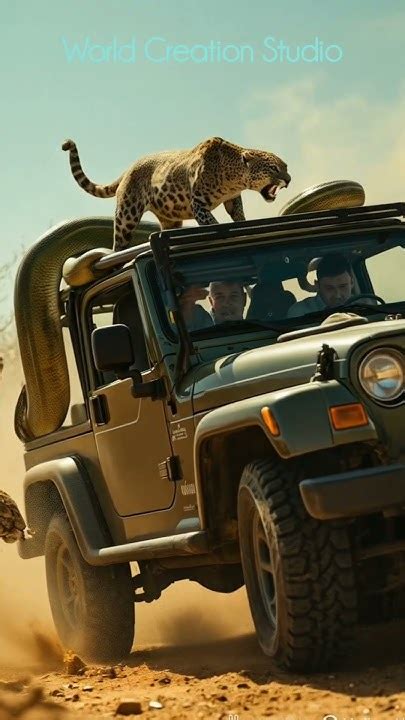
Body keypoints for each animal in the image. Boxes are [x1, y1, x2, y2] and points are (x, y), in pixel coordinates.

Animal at [62, 136, 291, 252]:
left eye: (286, 166)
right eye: (273, 168)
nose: (288, 180)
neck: (234, 176)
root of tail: (128, 170)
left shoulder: (233, 200)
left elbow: (238, 214)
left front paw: (242, 226)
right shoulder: (199, 203)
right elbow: (212, 223)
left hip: (170, 219)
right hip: (127, 215)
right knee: (119, 242)